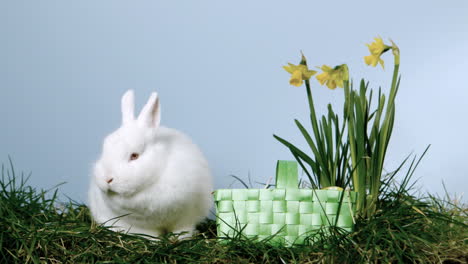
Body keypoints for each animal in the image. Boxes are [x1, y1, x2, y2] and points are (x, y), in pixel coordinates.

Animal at [88, 89, 212, 239]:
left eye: (134, 156)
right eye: (104, 149)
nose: (107, 179)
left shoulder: (186, 218)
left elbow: (182, 229)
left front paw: (178, 239)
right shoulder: (139, 225)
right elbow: (146, 234)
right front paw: (154, 241)